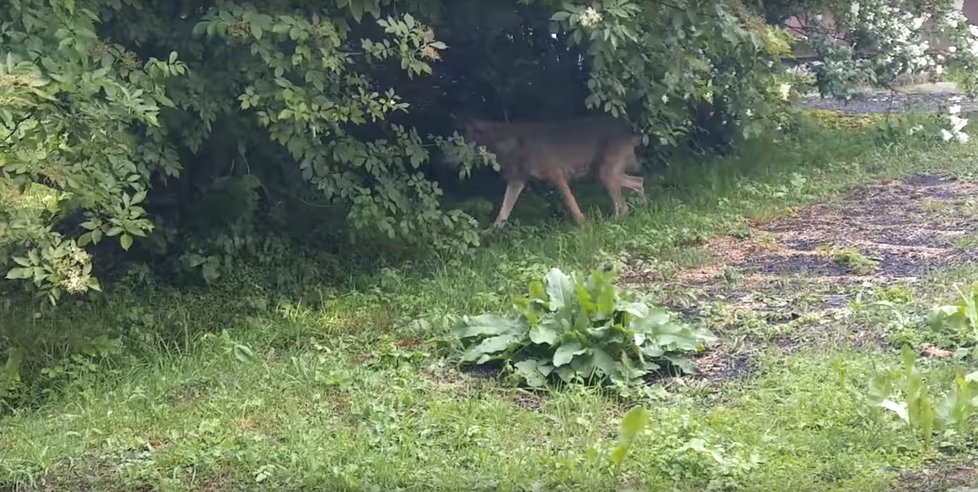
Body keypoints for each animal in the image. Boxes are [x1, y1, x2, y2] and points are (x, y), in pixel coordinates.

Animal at [462, 115, 644, 229]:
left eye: (466, 139)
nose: (455, 160)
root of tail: (629, 131)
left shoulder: (556, 175)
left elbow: (571, 204)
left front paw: (583, 224)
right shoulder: (516, 182)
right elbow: (502, 213)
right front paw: (489, 234)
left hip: (605, 174)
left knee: (624, 205)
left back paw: (613, 223)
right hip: (604, 174)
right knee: (639, 183)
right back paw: (642, 208)